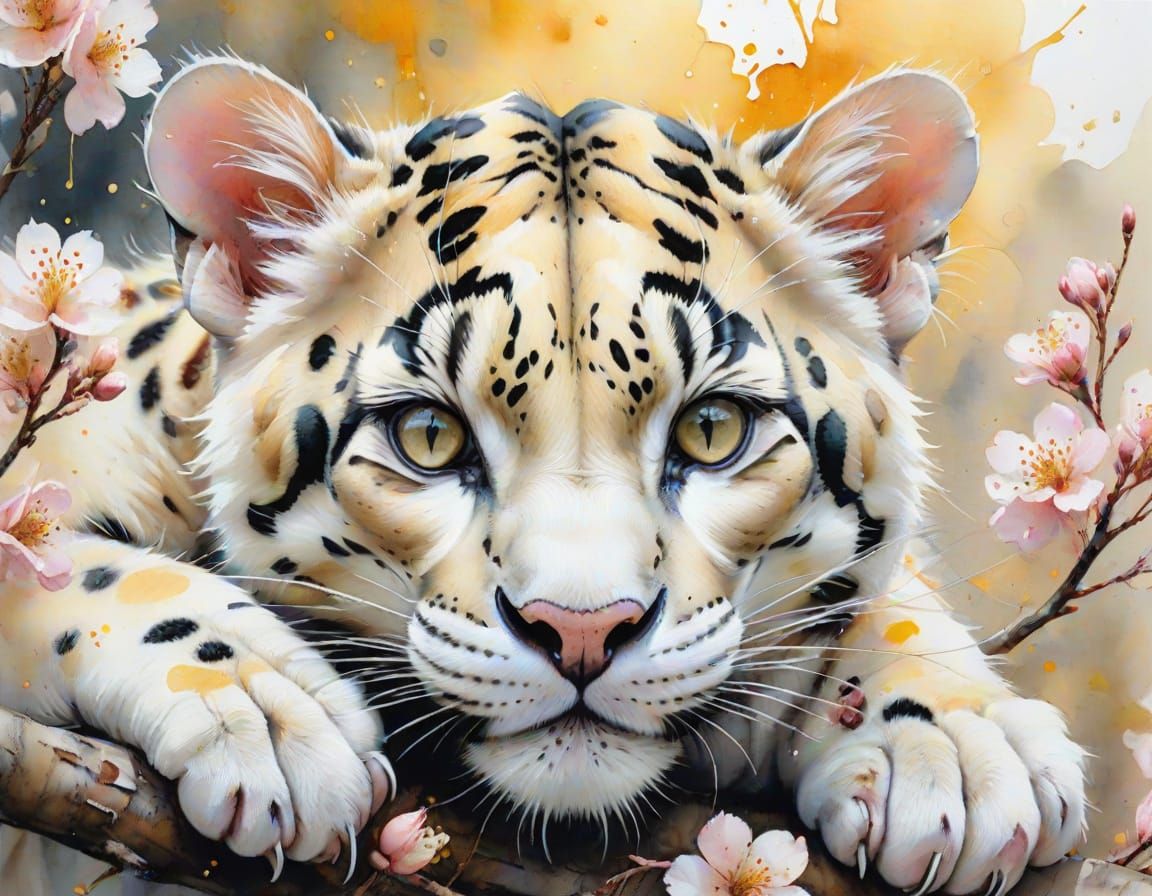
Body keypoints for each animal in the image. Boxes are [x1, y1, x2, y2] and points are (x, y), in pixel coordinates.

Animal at [0, 56, 1086, 896]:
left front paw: (957, 744)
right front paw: (271, 713)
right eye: (429, 435)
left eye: (713, 430)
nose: (581, 632)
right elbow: (66, 557)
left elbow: (871, 593)